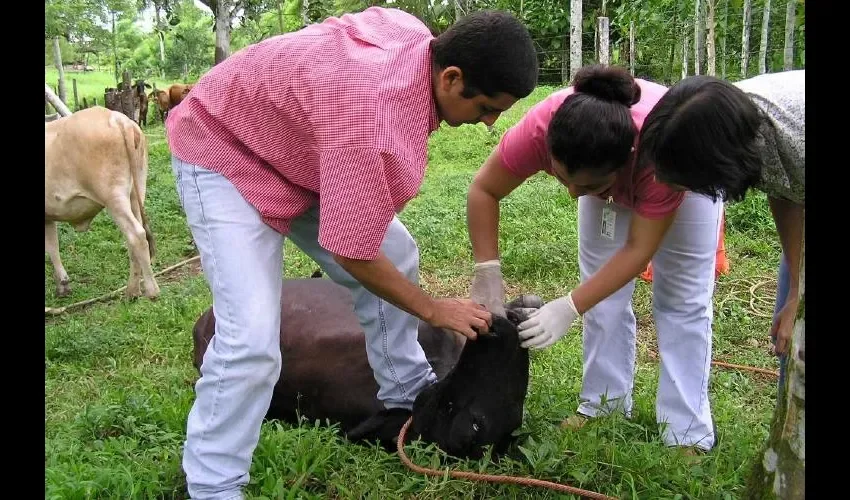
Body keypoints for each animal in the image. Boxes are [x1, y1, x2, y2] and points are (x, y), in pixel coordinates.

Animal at [45, 106, 161, 298]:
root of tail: (117, 118)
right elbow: (52, 246)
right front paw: (63, 285)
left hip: (114, 197)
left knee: (136, 235)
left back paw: (151, 291)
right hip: (136, 192)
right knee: (136, 236)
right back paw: (132, 290)